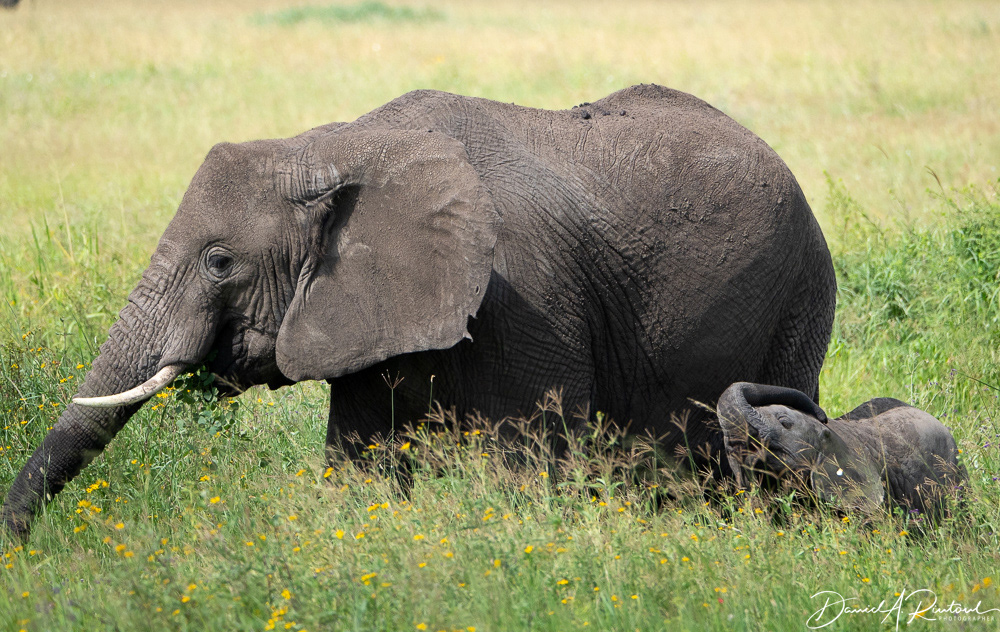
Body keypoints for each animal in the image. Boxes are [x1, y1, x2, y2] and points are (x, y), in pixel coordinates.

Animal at [2, 84, 837, 537]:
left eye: (219, 262)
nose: (18, 549)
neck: (335, 145)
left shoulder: (526, 299)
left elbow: (522, 470)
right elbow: (362, 470)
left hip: (799, 290)